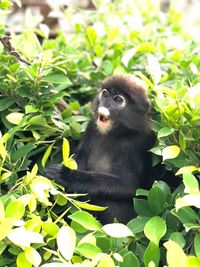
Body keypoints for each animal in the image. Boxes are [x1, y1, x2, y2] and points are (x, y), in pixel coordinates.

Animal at [45, 75, 155, 224]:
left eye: (118, 100)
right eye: (105, 94)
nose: (104, 105)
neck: (114, 132)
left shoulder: (134, 143)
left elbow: (129, 186)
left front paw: (67, 175)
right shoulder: (92, 126)